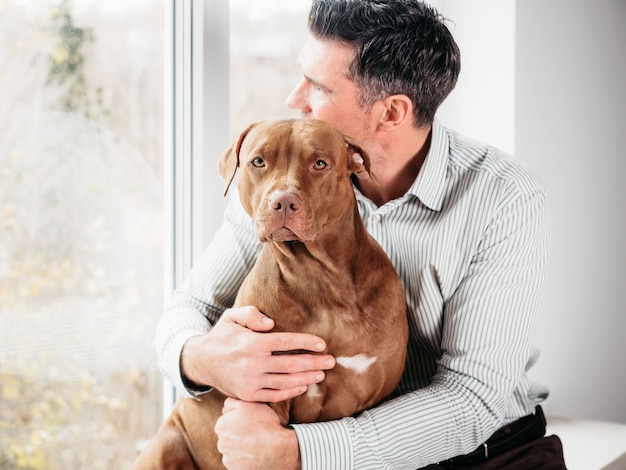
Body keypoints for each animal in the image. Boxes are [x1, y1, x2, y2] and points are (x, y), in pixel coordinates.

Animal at [133, 119, 404, 468]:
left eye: (320, 163)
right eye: (258, 162)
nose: (283, 202)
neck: (324, 282)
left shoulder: (371, 395)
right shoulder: (266, 396)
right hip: (167, 445)